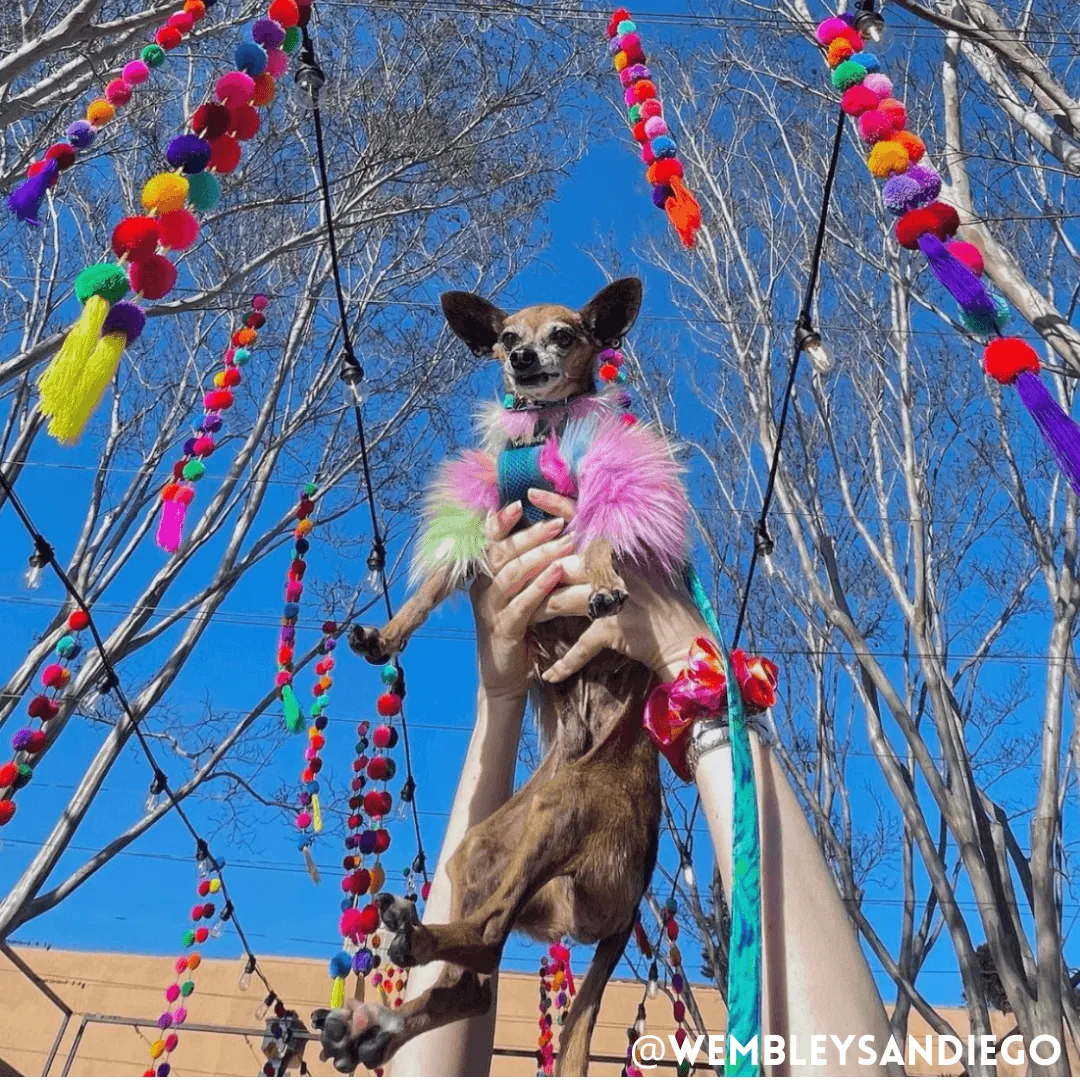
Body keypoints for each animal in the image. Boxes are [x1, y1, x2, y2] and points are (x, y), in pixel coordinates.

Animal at [321, 278, 691, 1071]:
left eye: (565, 335)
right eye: (505, 339)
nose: (521, 359)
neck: (538, 437)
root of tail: (640, 892)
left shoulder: (590, 503)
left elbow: (600, 542)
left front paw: (603, 585)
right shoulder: (485, 533)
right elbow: (436, 584)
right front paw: (387, 634)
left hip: (555, 818)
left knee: (488, 938)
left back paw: (413, 942)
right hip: (484, 853)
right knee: (475, 977)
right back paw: (388, 1013)